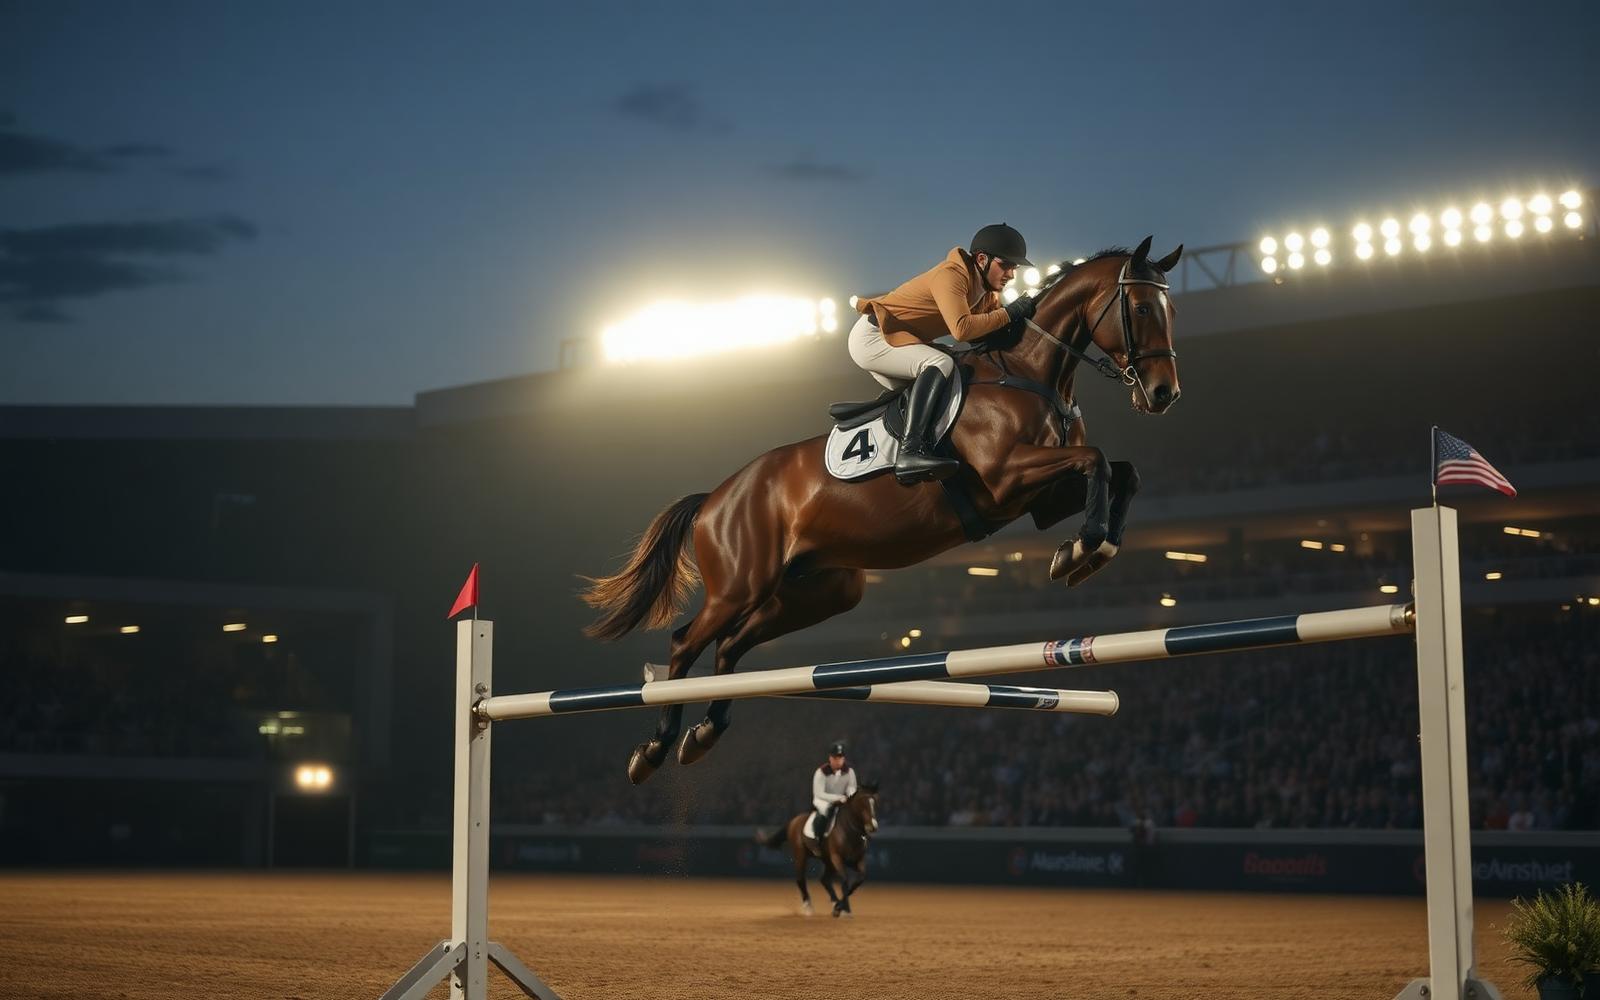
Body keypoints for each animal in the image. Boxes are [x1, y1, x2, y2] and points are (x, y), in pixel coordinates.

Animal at [582, 236, 1183, 784]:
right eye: (1141, 308)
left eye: (1171, 310)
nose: (1163, 394)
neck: (1031, 374)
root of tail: (714, 498)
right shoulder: (1007, 476)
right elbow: (1098, 460)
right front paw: (1085, 549)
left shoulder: (1038, 499)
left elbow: (1121, 471)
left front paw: (1084, 550)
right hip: (740, 583)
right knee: (686, 644)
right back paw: (654, 749)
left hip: (820, 590)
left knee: (730, 648)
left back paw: (704, 734)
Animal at [756, 784, 880, 917]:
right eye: (862, 803)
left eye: (875, 802)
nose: (873, 827)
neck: (849, 831)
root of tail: (794, 821)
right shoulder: (837, 858)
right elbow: (845, 881)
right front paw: (842, 909)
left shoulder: (856, 860)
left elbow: (859, 880)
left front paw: (842, 908)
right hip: (801, 855)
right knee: (801, 879)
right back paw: (808, 907)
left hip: (828, 862)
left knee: (824, 880)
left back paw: (834, 903)